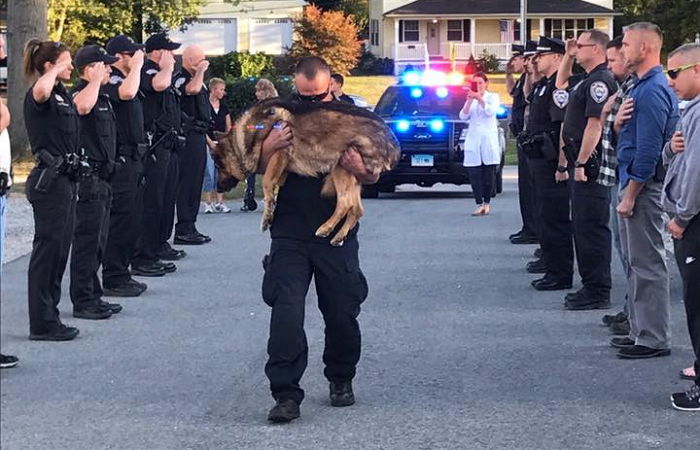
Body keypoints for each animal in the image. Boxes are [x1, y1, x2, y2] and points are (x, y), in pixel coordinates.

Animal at [212, 99, 400, 246]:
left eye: (218, 166)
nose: (218, 189)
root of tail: (394, 143)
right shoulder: (281, 166)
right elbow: (273, 182)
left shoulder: (280, 152)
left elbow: (266, 183)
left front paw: (267, 216)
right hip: (351, 173)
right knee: (357, 210)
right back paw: (338, 236)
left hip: (342, 165)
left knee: (346, 204)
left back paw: (325, 228)